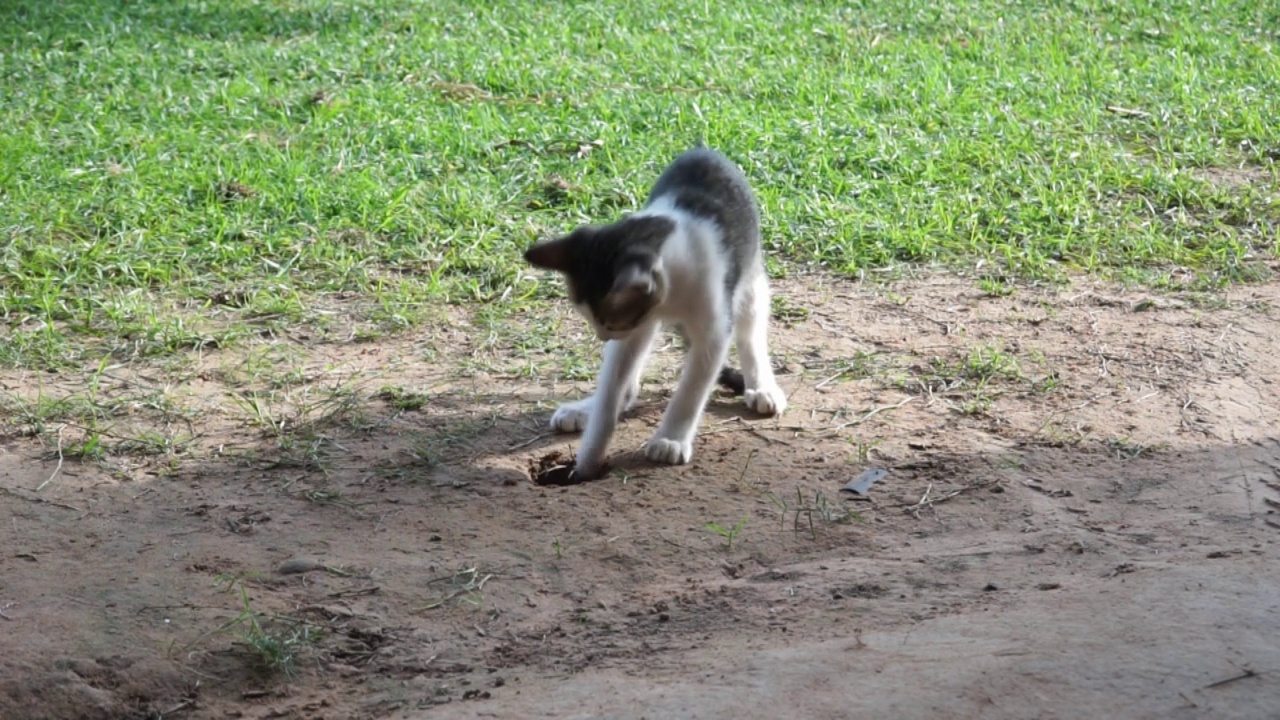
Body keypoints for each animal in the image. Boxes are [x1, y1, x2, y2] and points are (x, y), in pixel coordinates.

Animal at [522, 147, 783, 476]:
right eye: (594, 321)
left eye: (607, 321)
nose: (603, 336)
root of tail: (702, 148)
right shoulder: (636, 326)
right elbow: (611, 390)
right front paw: (589, 458)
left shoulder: (713, 329)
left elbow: (691, 389)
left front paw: (671, 439)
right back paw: (584, 410)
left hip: (749, 277)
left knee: (750, 330)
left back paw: (762, 387)